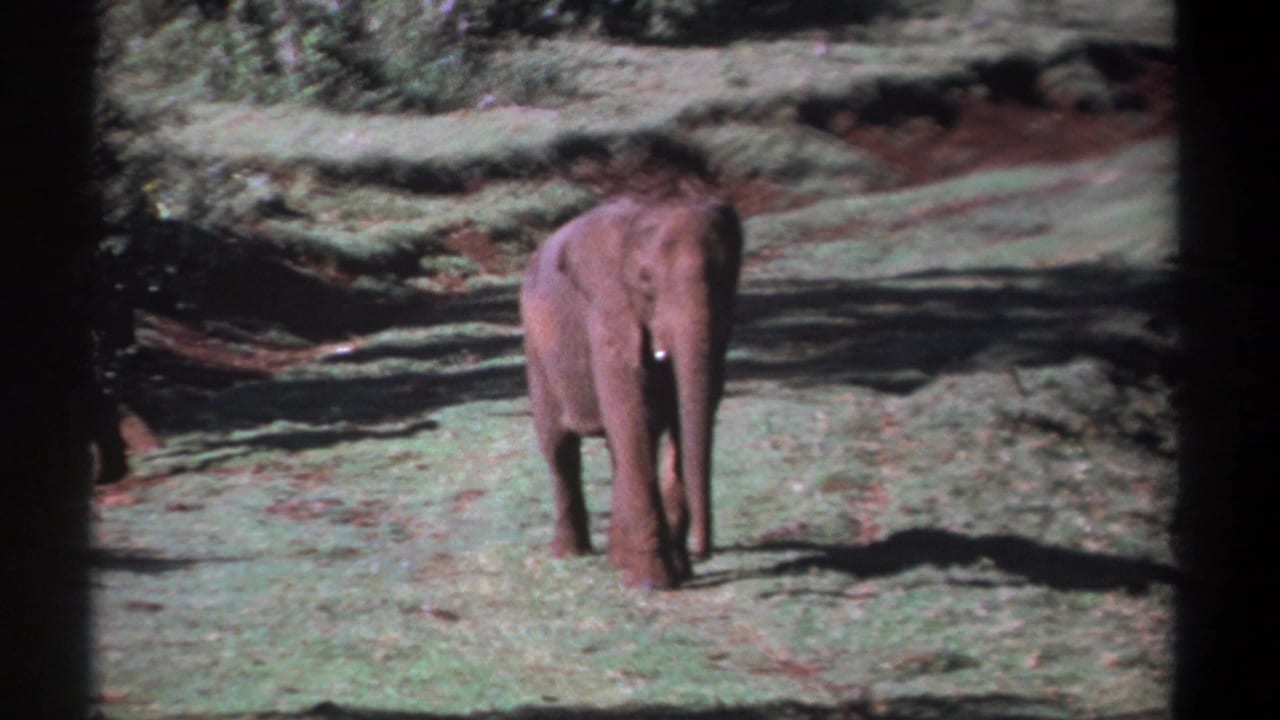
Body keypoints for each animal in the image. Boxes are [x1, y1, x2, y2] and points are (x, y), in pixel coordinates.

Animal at [520, 197, 743, 589]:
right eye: (645, 280)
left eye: (726, 274)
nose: (703, 551)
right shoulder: (608, 312)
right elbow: (632, 414)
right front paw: (654, 583)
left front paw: (675, 570)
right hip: (537, 352)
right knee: (560, 449)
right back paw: (570, 554)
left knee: (615, 448)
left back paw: (616, 560)